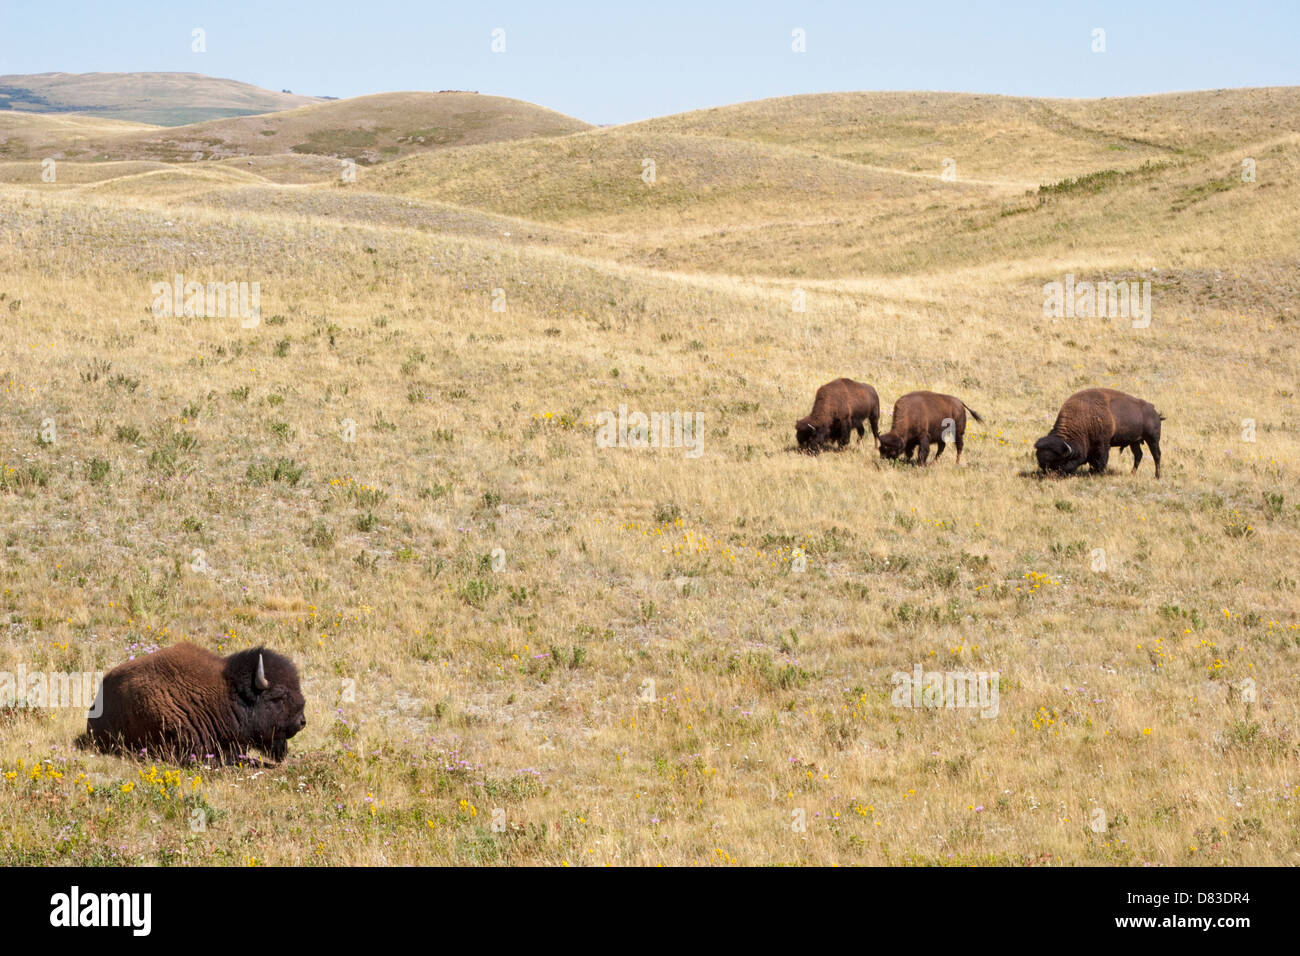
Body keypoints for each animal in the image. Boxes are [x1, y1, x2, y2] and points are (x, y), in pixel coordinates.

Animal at [1034, 387, 1163, 477]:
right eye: (1041, 464)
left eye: (1059, 462)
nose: (1050, 476)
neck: (1083, 419)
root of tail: (1154, 411)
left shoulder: (1102, 444)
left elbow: (1100, 459)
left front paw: (1097, 473)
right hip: (1134, 441)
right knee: (1138, 455)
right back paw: (1132, 474)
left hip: (1152, 439)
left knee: (1156, 455)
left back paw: (1157, 476)